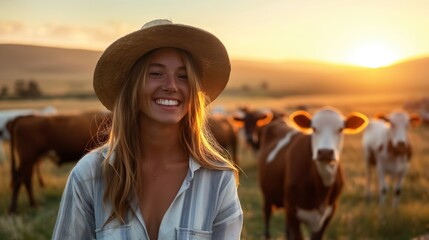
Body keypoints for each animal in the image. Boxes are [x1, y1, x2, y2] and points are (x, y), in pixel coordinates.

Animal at [260, 107, 366, 240]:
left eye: (340, 129)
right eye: (314, 128)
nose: (325, 152)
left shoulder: (328, 213)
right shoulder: (292, 211)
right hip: (267, 196)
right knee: (267, 215)